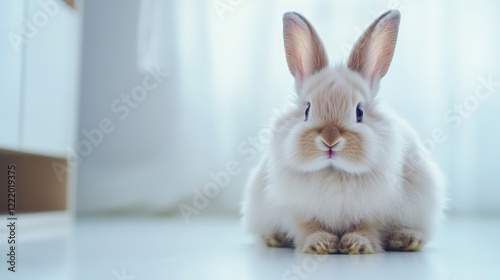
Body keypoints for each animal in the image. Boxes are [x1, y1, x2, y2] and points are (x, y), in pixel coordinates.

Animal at [240, 9, 448, 255]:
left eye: (359, 112)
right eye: (307, 110)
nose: (330, 141)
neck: (334, 171)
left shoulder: (373, 211)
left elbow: (366, 227)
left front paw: (358, 245)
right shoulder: (298, 210)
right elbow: (308, 227)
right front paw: (319, 244)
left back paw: (407, 240)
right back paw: (274, 238)